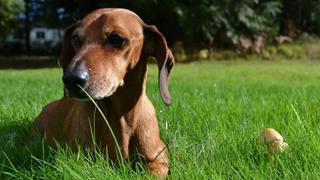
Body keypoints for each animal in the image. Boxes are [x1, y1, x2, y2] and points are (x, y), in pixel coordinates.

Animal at [31, 8, 175, 177]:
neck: (118, 117)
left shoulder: (158, 160)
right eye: (76, 38)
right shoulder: (79, 159)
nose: (71, 79)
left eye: (116, 39)